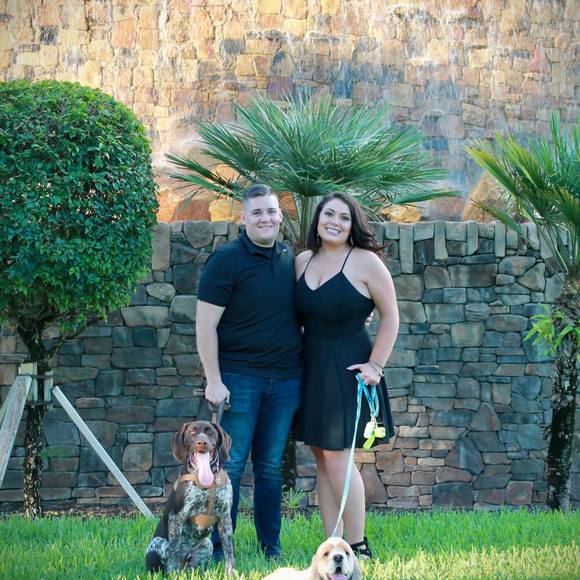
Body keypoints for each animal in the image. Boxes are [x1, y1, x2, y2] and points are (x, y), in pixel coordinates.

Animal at [145, 420, 234, 575]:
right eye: (192, 432)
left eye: (210, 432)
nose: (202, 442)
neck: (207, 483)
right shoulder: (176, 517)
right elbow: (174, 550)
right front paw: (173, 574)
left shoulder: (225, 518)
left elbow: (229, 552)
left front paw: (232, 574)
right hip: (158, 543)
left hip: (207, 544)